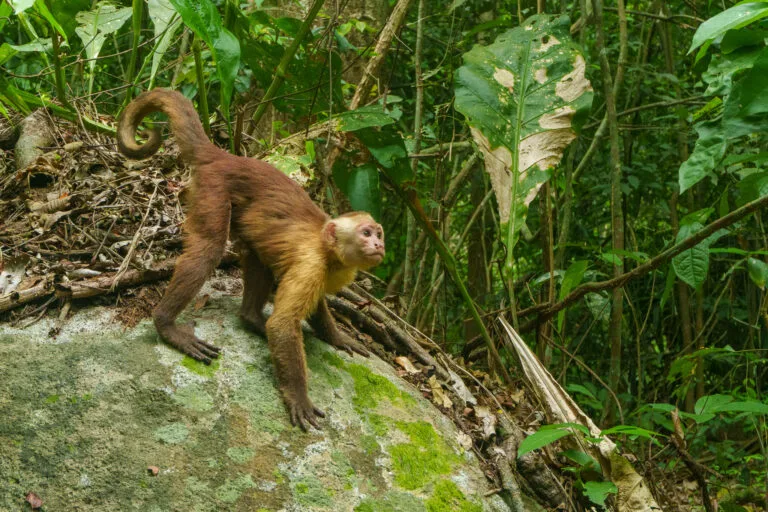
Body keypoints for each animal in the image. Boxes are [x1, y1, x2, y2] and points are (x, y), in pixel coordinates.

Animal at [117, 88, 385, 430]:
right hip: (214, 188)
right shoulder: (311, 264)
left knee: (257, 256)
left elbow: (314, 307)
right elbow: (283, 325)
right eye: (366, 233)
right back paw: (166, 325)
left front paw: (336, 336)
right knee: (209, 250)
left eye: (378, 233)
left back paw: (252, 319)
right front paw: (299, 397)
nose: (378, 244)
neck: (328, 249)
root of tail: (227, 156)